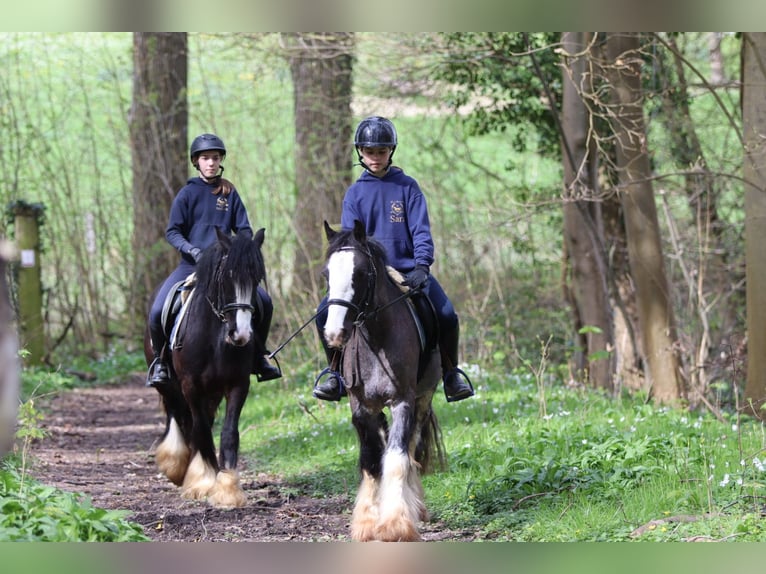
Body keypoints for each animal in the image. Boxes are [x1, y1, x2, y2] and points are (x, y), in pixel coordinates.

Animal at [143, 227, 267, 508]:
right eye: (226, 278)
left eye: (257, 279)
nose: (241, 334)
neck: (215, 337)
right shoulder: (191, 386)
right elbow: (199, 429)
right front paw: (202, 481)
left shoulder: (237, 384)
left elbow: (228, 432)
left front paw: (228, 488)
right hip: (170, 387)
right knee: (178, 416)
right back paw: (177, 465)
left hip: (213, 393)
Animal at [321, 220, 446, 541]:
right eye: (327, 274)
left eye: (360, 274)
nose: (335, 334)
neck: (376, 340)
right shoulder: (361, 407)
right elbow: (370, 460)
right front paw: (366, 522)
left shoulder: (403, 401)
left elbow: (397, 459)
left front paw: (395, 524)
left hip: (423, 399)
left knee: (411, 449)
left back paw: (416, 508)